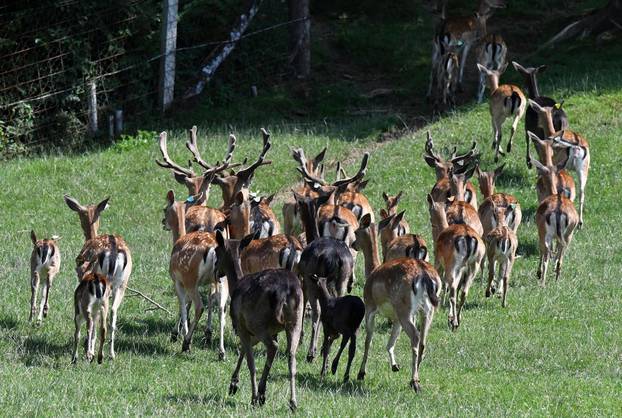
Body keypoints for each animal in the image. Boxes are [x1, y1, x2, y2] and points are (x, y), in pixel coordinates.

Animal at [64, 193, 132, 360]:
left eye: (80, 214)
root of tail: (114, 253)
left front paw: (88, 348)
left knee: (99, 316)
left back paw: (91, 352)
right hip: (122, 283)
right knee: (113, 312)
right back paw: (112, 353)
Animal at [214, 230, 304, 410]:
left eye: (215, 250)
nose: (215, 271)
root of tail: (284, 292)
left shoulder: (242, 324)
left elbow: (250, 360)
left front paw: (245, 390)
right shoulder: (257, 330)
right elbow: (243, 349)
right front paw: (234, 384)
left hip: (259, 321)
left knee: (273, 347)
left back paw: (259, 395)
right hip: (295, 320)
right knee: (291, 356)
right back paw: (292, 402)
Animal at [354, 212, 446, 392]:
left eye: (355, 232)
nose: (353, 245)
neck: (373, 271)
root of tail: (424, 276)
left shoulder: (370, 307)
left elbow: (368, 340)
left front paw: (361, 373)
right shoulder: (395, 318)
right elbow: (390, 342)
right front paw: (395, 366)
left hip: (405, 308)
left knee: (415, 336)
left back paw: (415, 381)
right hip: (427, 310)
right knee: (423, 340)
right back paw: (416, 375)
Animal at [428, 195, 488, 330]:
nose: (431, 222)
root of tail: (468, 238)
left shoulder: (439, 261)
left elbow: (442, 282)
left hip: (453, 264)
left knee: (453, 289)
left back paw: (452, 321)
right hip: (473, 265)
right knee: (464, 291)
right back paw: (458, 320)